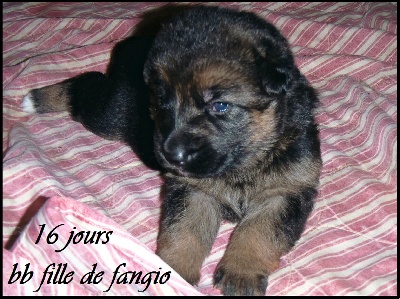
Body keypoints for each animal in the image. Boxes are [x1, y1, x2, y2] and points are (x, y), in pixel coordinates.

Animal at [21, 4, 322, 296]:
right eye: (162, 99)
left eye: (220, 105)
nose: (171, 156)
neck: (242, 165)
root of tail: (136, 40)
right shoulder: (192, 190)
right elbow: (184, 232)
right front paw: (172, 274)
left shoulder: (285, 191)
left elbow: (258, 231)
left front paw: (241, 272)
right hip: (110, 115)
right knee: (85, 86)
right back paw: (38, 98)